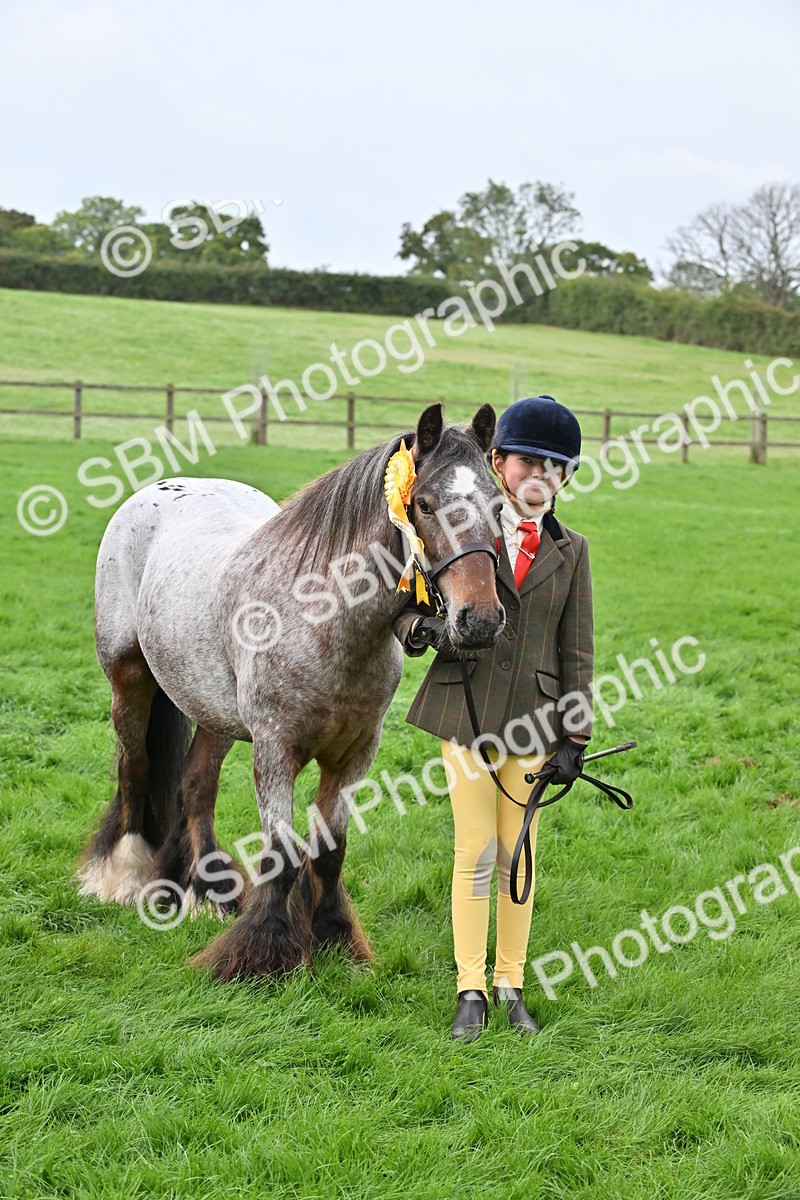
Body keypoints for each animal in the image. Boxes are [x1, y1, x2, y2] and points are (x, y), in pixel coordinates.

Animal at [77, 402, 506, 979]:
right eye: (423, 504)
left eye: (498, 502)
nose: (479, 619)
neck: (322, 617)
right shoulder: (275, 751)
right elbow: (282, 856)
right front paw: (263, 955)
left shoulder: (354, 754)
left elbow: (328, 851)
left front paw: (334, 940)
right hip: (128, 680)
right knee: (135, 767)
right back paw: (123, 876)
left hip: (214, 713)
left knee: (195, 785)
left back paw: (205, 892)